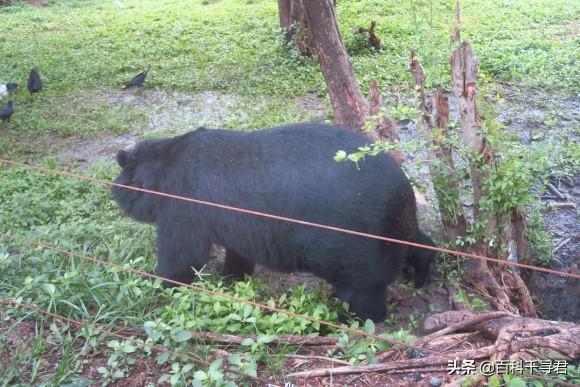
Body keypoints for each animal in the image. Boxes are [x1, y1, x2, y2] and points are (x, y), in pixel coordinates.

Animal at [112, 123, 436, 322]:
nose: (113, 192)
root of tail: (402, 187)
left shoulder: (185, 203)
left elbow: (181, 254)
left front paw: (159, 283)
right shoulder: (237, 219)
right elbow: (238, 254)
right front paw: (231, 277)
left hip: (353, 239)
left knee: (361, 292)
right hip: (394, 227)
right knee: (418, 242)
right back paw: (421, 273)